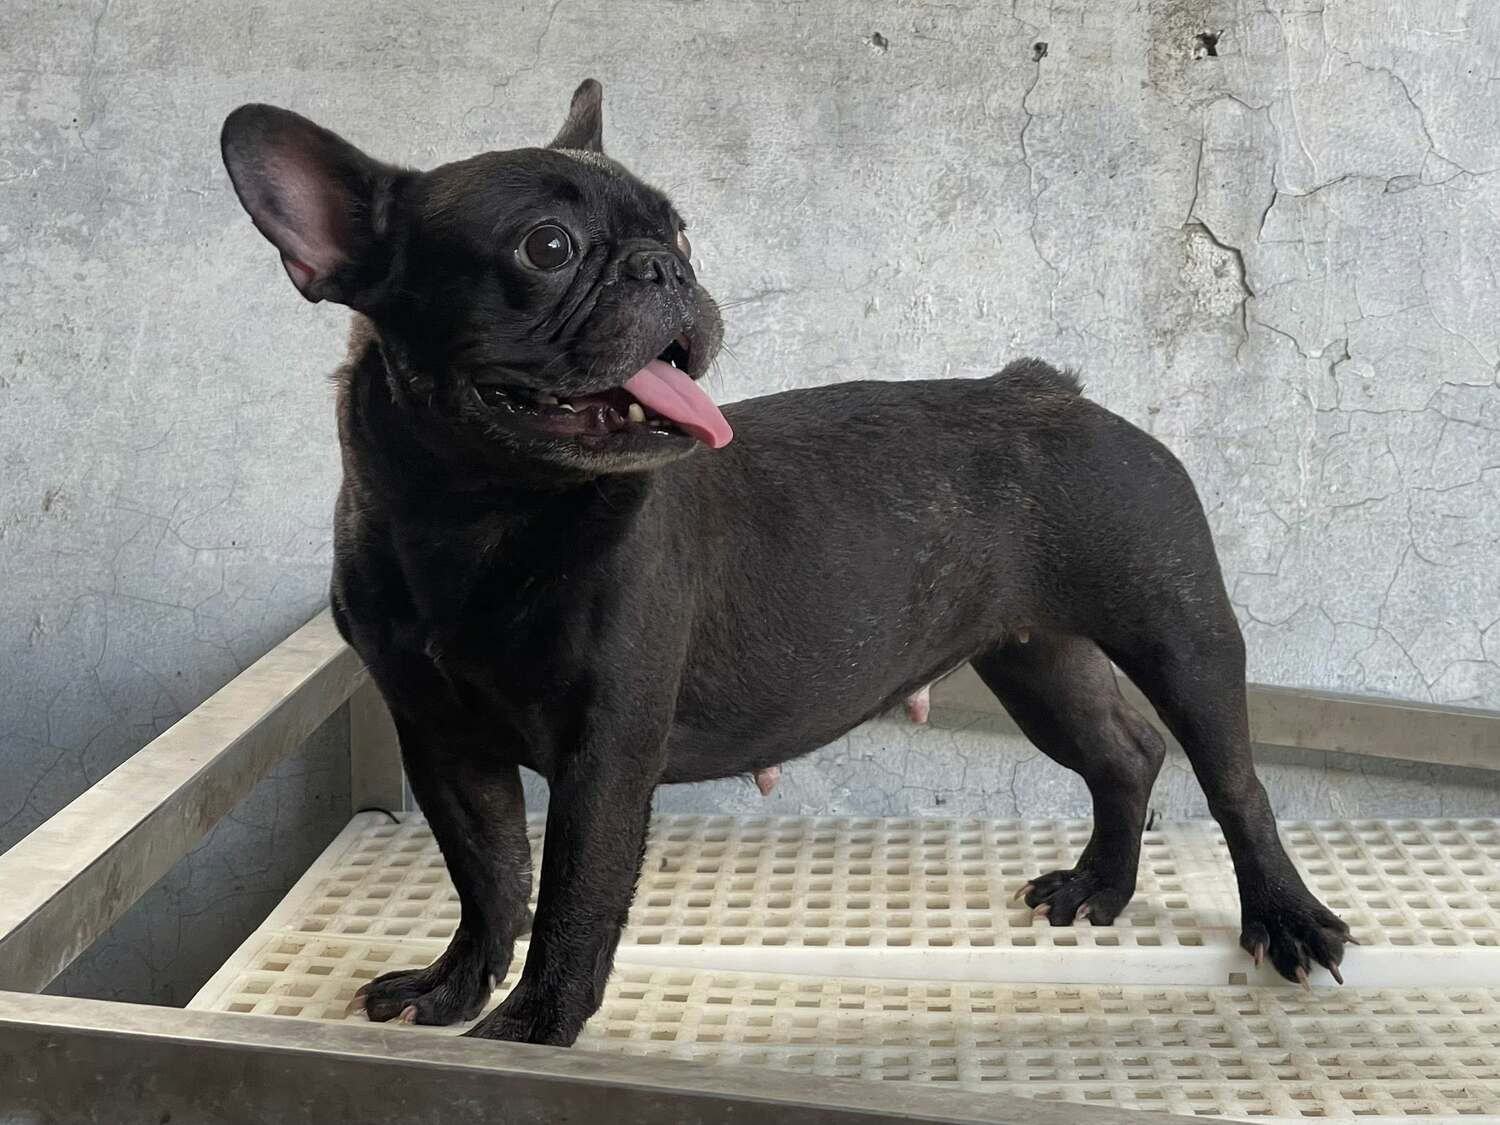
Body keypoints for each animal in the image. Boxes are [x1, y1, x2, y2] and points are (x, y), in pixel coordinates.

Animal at [220, 79, 1350, 1046]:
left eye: (680, 230)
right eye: (547, 246)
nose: (667, 267)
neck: (478, 516)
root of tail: (1053, 388)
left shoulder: (607, 748)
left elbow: (575, 896)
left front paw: (534, 1030)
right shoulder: (443, 740)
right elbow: (488, 872)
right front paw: (454, 987)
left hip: (1179, 632)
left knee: (1233, 780)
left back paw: (1288, 917)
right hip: (1035, 657)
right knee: (1123, 752)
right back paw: (1098, 888)